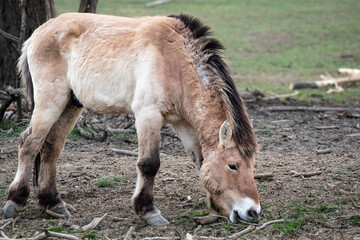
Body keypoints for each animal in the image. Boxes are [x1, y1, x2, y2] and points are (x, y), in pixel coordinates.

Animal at [3, 13, 262, 225]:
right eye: (233, 165)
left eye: (252, 166)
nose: (253, 212)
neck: (174, 60)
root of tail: (36, 35)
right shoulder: (148, 114)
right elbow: (149, 163)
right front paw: (148, 211)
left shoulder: (184, 125)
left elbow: (200, 162)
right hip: (50, 103)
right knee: (29, 143)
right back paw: (14, 202)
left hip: (70, 105)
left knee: (51, 148)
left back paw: (54, 204)